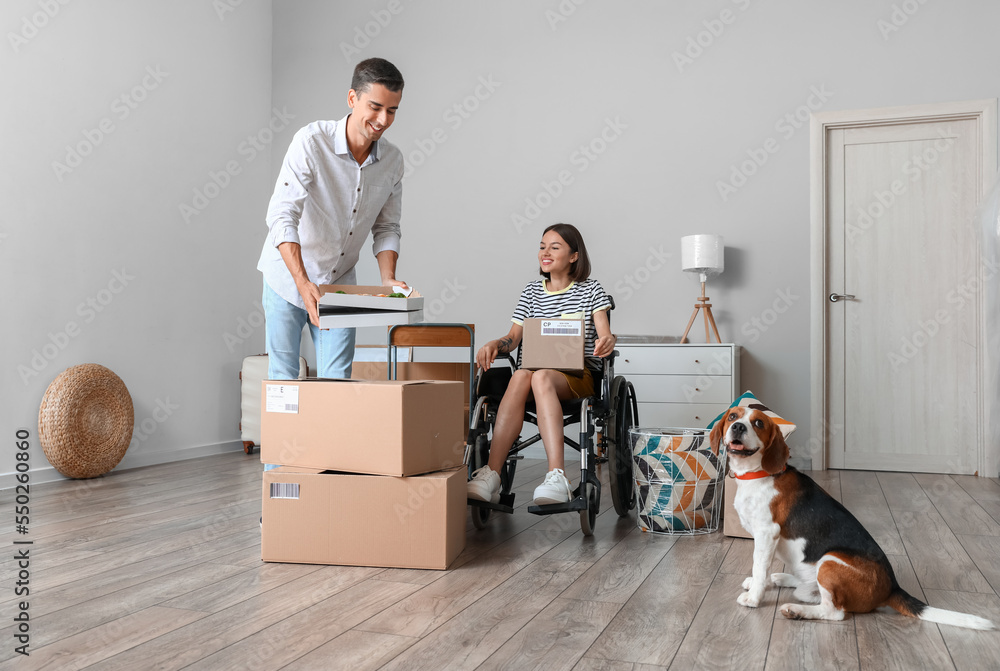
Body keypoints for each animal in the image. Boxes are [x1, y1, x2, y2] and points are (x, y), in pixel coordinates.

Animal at [708, 406, 996, 632]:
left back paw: (795, 609)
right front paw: (762, 584)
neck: (756, 474)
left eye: (758, 423)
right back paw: (783, 581)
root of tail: (891, 588)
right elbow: (762, 568)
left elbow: (759, 567)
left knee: (833, 611)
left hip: (829, 561)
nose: (737, 427)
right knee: (810, 592)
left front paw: (754, 598)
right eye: (733, 416)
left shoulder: (767, 534)